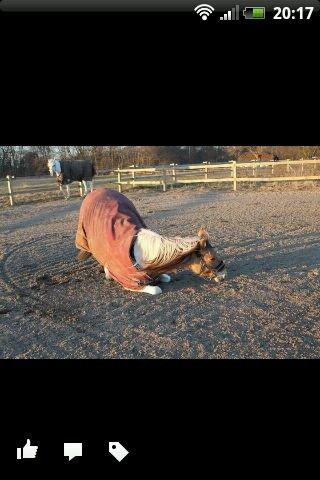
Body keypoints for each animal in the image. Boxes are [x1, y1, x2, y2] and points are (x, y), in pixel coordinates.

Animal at [75, 188, 226, 294]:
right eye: (212, 258)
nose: (224, 275)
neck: (139, 255)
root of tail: (97, 190)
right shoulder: (130, 282)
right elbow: (156, 289)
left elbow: (165, 277)